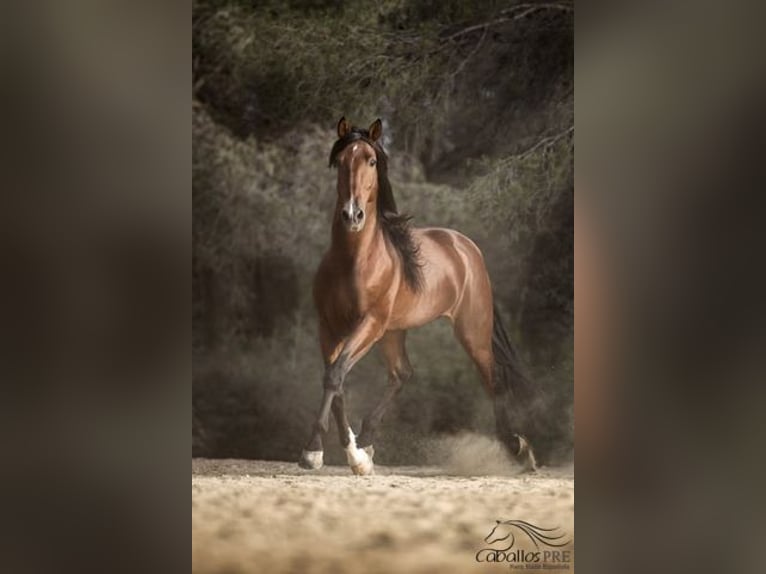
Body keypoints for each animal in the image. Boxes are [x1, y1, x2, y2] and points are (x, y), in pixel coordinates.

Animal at [298, 117, 540, 476]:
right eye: (340, 161)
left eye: (372, 161)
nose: (353, 215)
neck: (353, 260)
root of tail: (467, 247)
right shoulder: (329, 327)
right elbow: (335, 380)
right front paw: (349, 455)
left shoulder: (369, 323)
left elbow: (336, 375)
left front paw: (317, 452)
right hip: (394, 332)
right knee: (402, 373)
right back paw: (367, 442)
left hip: (471, 331)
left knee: (492, 378)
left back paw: (519, 449)